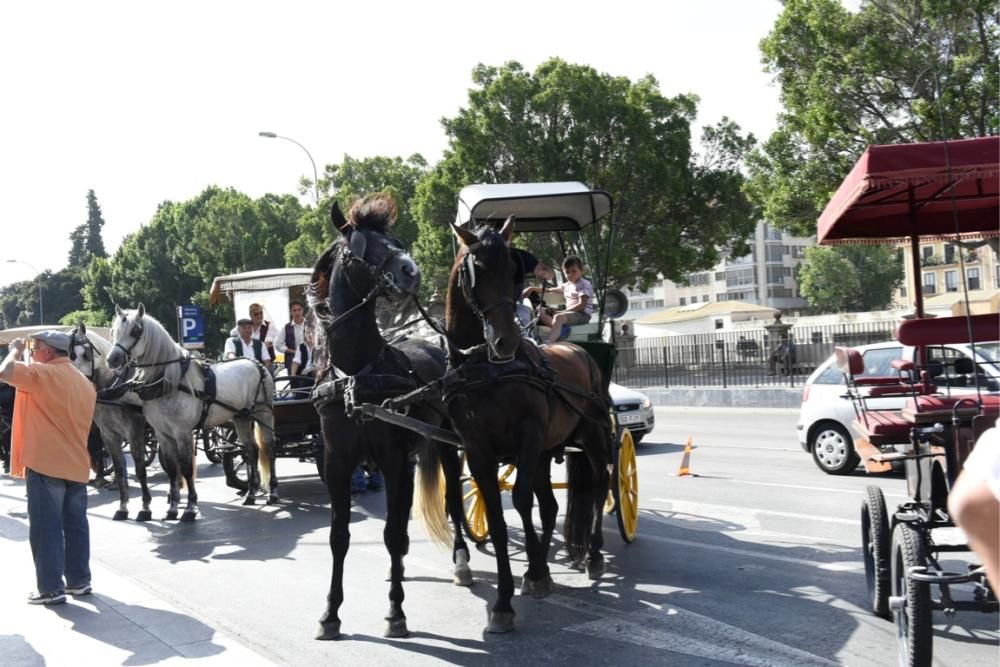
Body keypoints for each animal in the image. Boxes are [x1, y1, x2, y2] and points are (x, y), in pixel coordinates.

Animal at [69, 324, 153, 520]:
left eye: (86, 354)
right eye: (69, 355)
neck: (114, 386)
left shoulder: (134, 431)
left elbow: (140, 469)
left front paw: (145, 507)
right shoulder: (108, 434)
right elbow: (119, 469)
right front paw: (123, 507)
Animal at [105, 304, 276, 520]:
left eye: (136, 331)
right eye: (114, 331)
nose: (112, 359)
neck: (170, 381)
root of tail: (256, 363)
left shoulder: (182, 432)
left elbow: (186, 468)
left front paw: (189, 508)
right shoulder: (163, 434)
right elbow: (172, 469)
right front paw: (172, 508)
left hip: (263, 413)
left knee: (269, 448)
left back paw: (273, 492)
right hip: (241, 417)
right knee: (251, 451)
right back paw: (251, 494)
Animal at [310, 194, 470, 640]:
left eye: (395, 240)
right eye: (360, 249)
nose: (410, 271)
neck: (356, 374)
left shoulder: (395, 461)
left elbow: (393, 533)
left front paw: (396, 610)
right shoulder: (337, 463)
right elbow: (340, 536)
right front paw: (330, 613)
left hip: (446, 445)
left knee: (453, 502)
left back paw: (461, 560)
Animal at [442, 220, 612, 636]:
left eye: (514, 271)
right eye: (478, 270)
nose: (506, 340)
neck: (486, 370)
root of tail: (582, 352)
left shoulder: (529, 437)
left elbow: (520, 501)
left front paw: (533, 574)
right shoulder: (478, 451)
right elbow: (499, 518)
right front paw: (507, 598)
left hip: (593, 437)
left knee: (600, 484)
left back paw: (593, 554)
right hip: (547, 451)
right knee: (549, 505)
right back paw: (541, 563)